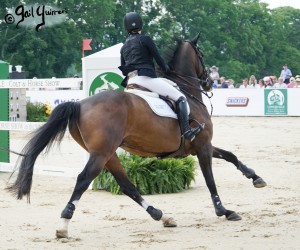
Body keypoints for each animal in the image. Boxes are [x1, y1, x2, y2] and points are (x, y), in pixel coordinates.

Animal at [5, 33, 266, 238]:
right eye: (201, 54)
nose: (210, 83)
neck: (188, 92)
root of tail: (79, 104)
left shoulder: (199, 146)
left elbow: (230, 155)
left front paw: (255, 177)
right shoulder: (202, 145)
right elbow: (211, 179)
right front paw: (224, 211)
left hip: (108, 154)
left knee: (127, 186)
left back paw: (162, 216)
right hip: (101, 154)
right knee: (83, 180)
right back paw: (64, 226)